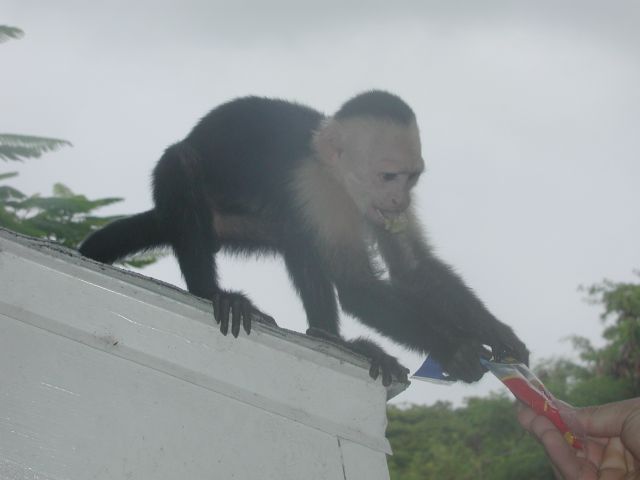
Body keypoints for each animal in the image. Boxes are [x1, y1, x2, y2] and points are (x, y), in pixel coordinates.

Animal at [80, 91, 528, 386]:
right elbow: (357, 287)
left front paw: (499, 335)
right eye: (388, 176)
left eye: (411, 177)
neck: (340, 180)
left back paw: (332, 338)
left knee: (299, 238)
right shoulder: (318, 189)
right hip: (208, 212)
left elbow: (413, 270)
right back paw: (212, 293)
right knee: (182, 163)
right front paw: (455, 348)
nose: (400, 200)